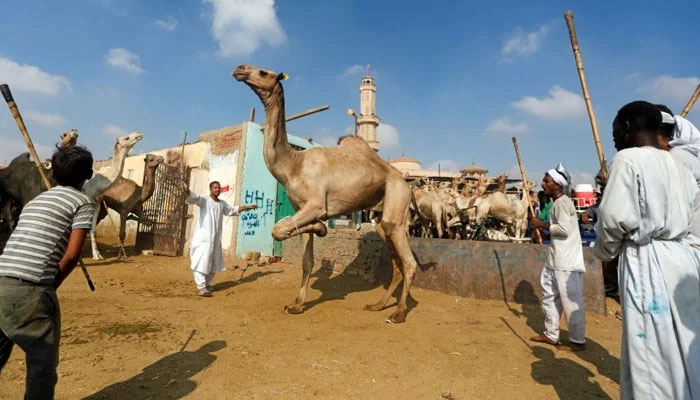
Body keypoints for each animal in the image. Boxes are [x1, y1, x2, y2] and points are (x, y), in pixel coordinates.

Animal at [235, 64, 422, 324]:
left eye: (263, 72)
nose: (240, 68)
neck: (294, 164)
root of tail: (407, 184)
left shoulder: (315, 204)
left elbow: (278, 229)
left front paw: (321, 228)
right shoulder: (300, 208)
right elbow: (306, 260)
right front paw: (296, 305)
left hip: (397, 199)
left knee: (409, 262)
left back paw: (399, 313)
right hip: (382, 218)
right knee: (395, 258)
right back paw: (378, 305)